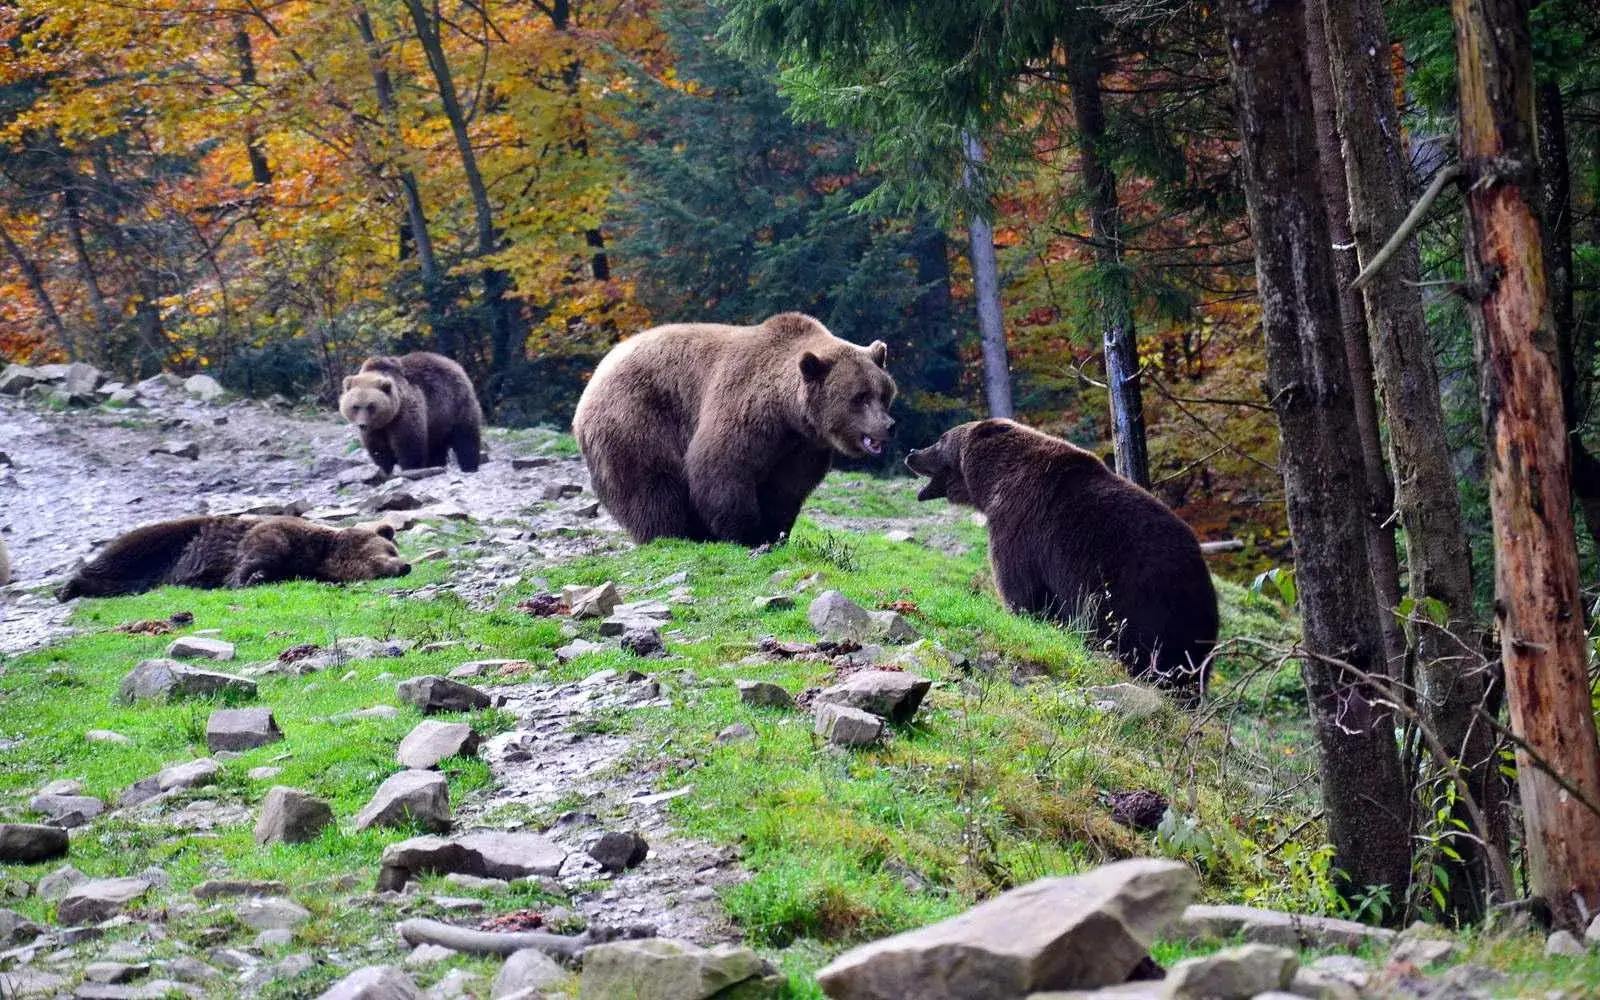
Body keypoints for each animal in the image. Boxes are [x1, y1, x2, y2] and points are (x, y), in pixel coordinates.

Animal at [339, 352, 484, 474]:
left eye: (371, 406)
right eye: (355, 406)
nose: (362, 424)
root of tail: (453, 363)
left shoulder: (405, 412)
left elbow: (408, 441)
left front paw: (410, 467)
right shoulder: (375, 430)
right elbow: (379, 449)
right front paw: (383, 469)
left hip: (454, 404)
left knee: (465, 436)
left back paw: (469, 466)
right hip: (437, 421)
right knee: (436, 447)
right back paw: (436, 464)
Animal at [572, 313, 897, 546]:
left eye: (884, 394)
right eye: (860, 397)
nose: (888, 426)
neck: (788, 413)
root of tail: (599, 372)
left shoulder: (802, 447)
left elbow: (786, 489)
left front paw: (776, 532)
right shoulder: (744, 410)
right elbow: (723, 469)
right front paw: (747, 534)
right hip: (635, 416)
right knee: (651, 482)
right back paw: (672, 533)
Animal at [906, 419, 1219, 695]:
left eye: (942, 438)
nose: (912, 453)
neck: (994, 481)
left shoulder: (1021, 525)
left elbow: (1020, 588)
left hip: (1145, 598)